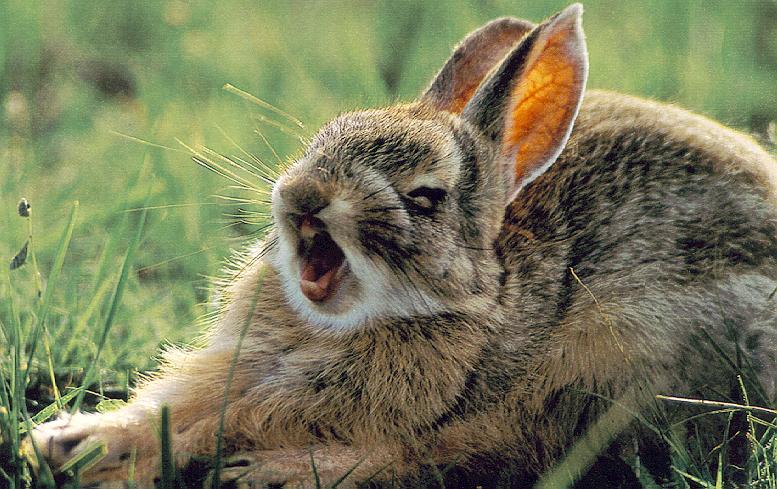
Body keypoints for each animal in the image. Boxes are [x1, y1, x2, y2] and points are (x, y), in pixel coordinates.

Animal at [27, 3, 776, 488]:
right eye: (321, 142)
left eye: (424, 198)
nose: (303, 196)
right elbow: (174, 406)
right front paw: (69, 441)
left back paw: (271, 472)